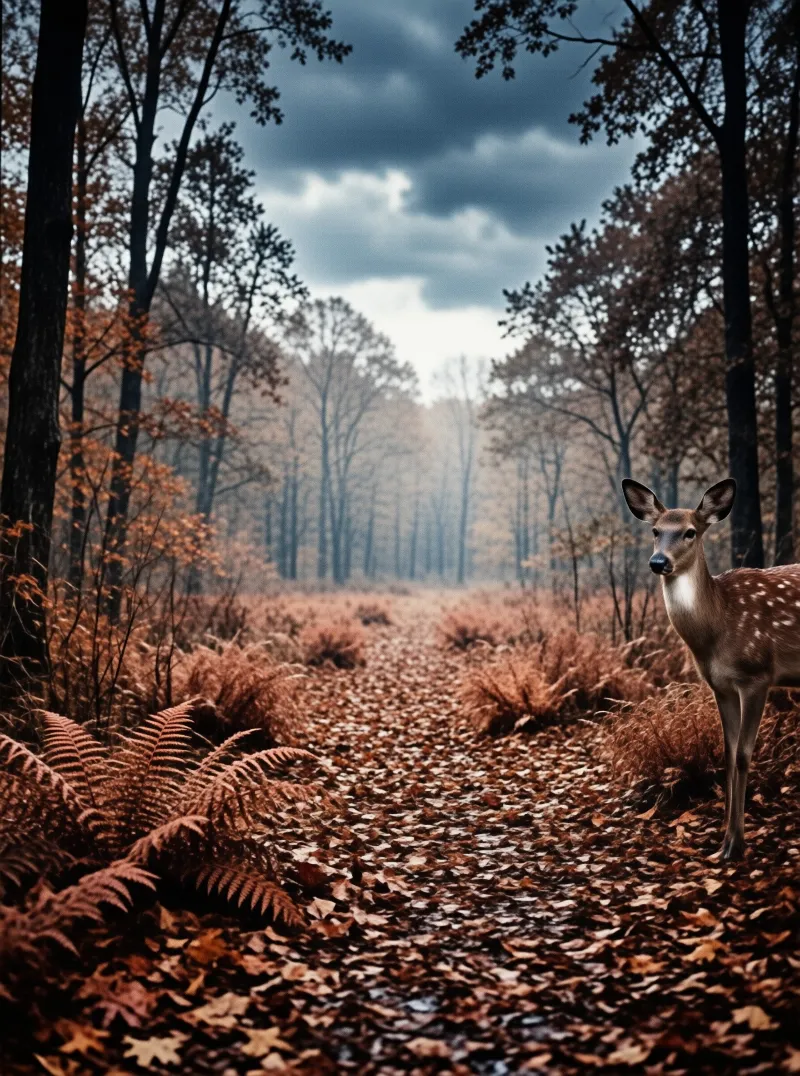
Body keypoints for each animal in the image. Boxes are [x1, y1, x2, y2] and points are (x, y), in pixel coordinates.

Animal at [622, 477, 800, 860]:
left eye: (690, 532)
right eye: (655, 531)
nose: (658, 561)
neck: (717, 629)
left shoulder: (757, 675)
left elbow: (745, 755)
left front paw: (738, 844)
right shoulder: (720, 686)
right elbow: (727, 753)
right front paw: (722, 840)